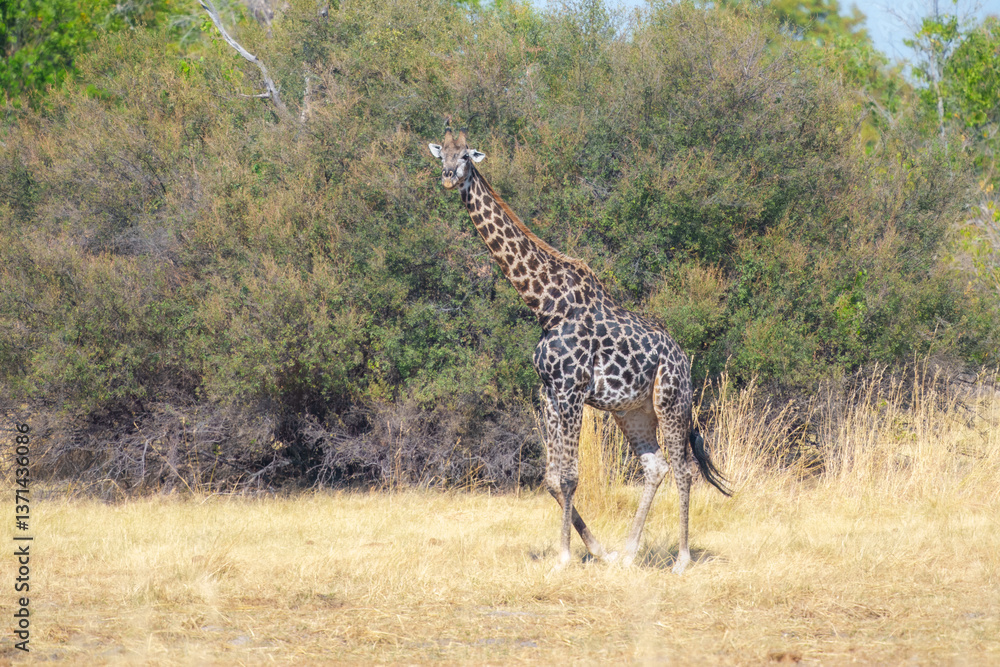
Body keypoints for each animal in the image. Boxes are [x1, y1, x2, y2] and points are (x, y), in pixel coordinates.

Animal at [428, 122, 730, 573]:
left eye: (466, 155)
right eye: (441, 155)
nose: (449, 178)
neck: (545, 305)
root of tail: (683, 358)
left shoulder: (571, 390)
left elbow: (569, 477)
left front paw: (564, 558)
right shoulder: (550, 393)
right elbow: (552, 479)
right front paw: (599, 550)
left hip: (671, 400)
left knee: (684, 468)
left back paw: (681, 559)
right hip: (632, 411)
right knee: (655, 465)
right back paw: (627, 553)